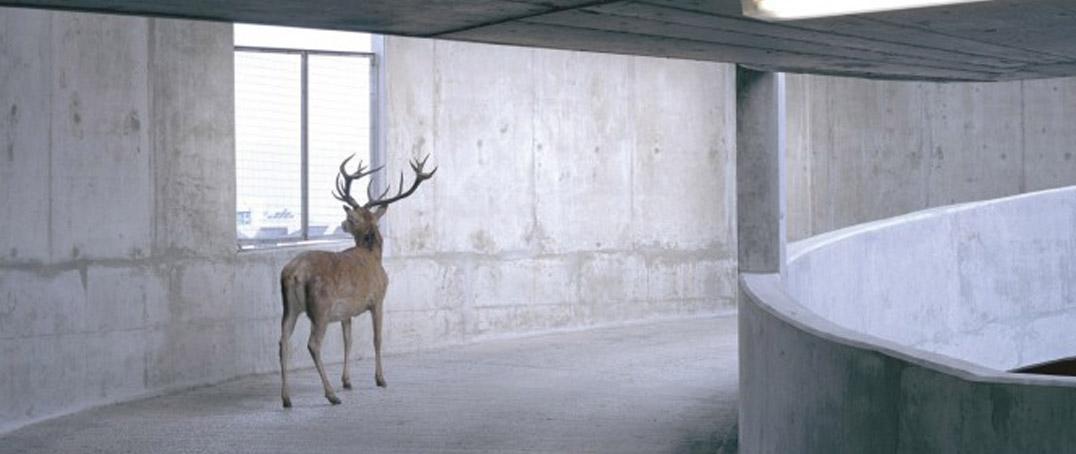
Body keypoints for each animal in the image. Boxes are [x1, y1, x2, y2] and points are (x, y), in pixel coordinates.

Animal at [277, 153, 436, 408]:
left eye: (351, 217)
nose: (342, 223)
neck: (373, 255)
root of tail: (293, 274)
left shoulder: (346, 311)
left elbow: (348, 341)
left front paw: (348, 381)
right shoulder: (378, 298)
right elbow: (377, 338)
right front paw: (380, 379)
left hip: (289, 307)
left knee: (283, 342)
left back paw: (287, 398)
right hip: (320, 307)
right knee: (313, 344)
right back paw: (331, 395)